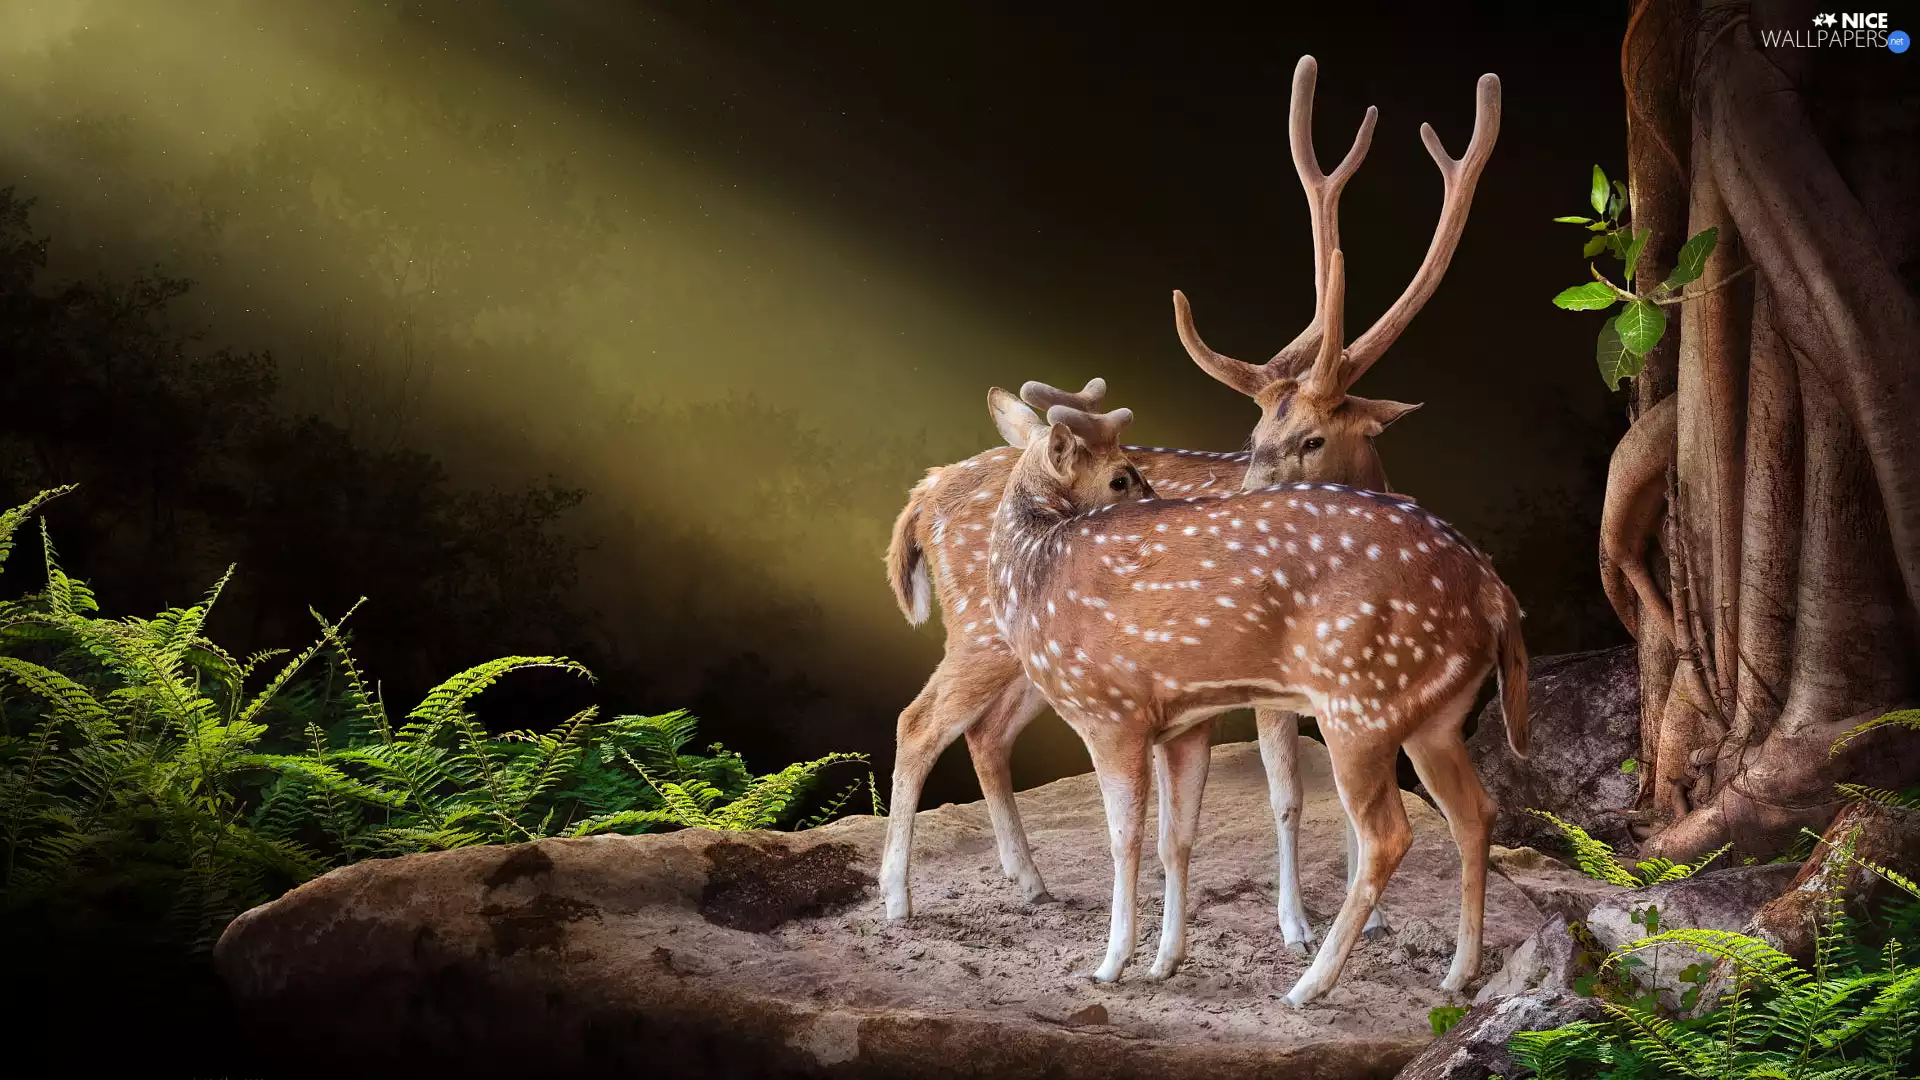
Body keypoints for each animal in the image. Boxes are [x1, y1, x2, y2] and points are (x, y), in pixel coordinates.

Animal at [878, 54, 1501, 953]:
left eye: (1314, 437)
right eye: (1257, 428)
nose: (1245, 505)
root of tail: (923, 493)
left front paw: (1370, 923)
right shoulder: (1275, 688)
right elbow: (1288, 794)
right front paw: (1295, 927)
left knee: (987, 735)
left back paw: (1029, 883)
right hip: (980, 632)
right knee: (918, 722)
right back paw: (897, 898)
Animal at [981, 297, 1529, 1002]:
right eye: (1123, 477)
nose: (1157, 499)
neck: (1034, 573)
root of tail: (1496, 594)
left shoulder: (1109, 710)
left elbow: (1125, 839)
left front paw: (1110, 963)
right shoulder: (1182, 721)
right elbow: (1175, 838)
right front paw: (1165, 962)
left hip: (1361, 702)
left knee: (1388, 834)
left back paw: (1309, 985)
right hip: (1432, 715)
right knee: (1476, 813)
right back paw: (1456, 976)